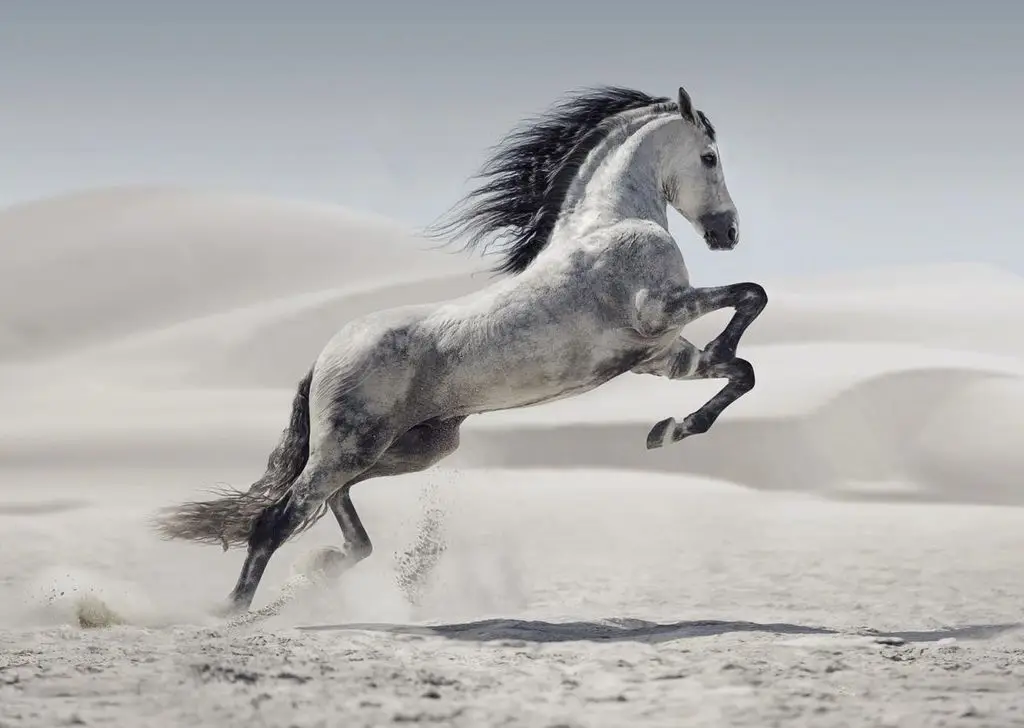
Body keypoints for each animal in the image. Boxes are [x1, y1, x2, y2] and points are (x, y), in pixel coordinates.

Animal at [153, 85, 768, 614]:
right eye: (710, 156)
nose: (728, 233)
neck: (610, 223)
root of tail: (324, 356)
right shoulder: (658, 311)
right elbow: (751, 296)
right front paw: (681, 411)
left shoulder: (662, 357)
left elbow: (741, 371)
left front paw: (669, 430)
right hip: (352, 447)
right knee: (278, 518)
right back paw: (231, 612)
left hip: (409, 448)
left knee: (333, 505)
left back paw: (323, 568)